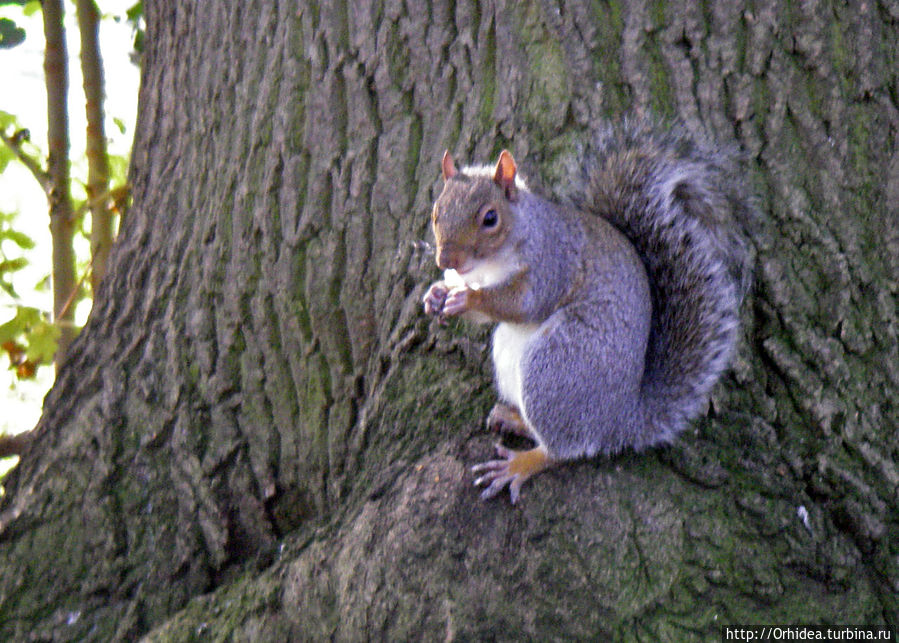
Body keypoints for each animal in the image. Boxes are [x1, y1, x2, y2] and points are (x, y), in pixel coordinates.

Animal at [422, 119, 752, 504]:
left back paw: (519, 465)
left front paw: (468, 299)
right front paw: (436, 294)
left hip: (559, 362)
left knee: (566, 448)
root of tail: (621, 419)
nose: (446, 260)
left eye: (490, 218)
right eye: (436, 213)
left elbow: (522, 304)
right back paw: (514, 419)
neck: (490, 265)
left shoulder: (552, 262)